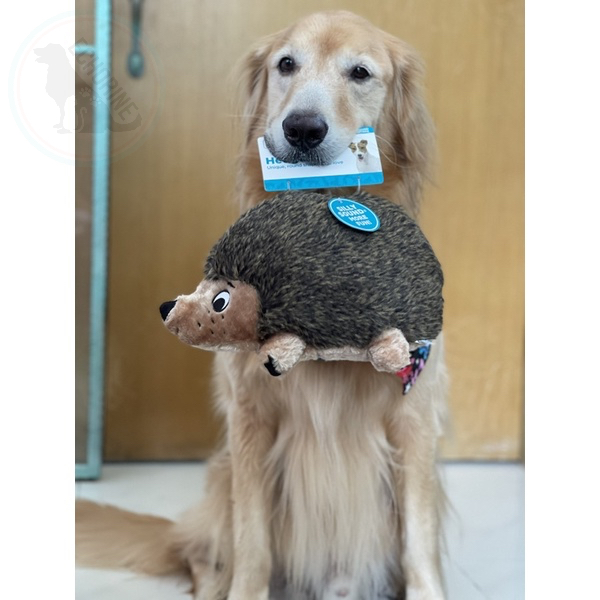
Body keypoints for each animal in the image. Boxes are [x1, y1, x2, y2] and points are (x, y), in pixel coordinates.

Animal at [76, 10, 448, 600]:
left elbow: (419, 541)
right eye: (286, 64)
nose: (302, 129)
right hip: (221, 472)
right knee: (204, 557)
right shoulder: (250, 423)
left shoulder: (414, 422)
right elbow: (253, 546)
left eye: (360, 73)